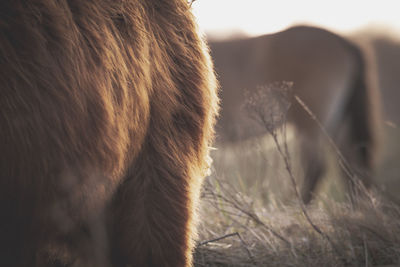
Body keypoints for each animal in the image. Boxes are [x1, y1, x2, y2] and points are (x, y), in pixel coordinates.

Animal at [209, 26, 382, 204]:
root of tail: (343, 41)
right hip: (339, 127)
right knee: (351, 169)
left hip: (310, 125)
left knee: (316, 167)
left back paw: (298, 205)